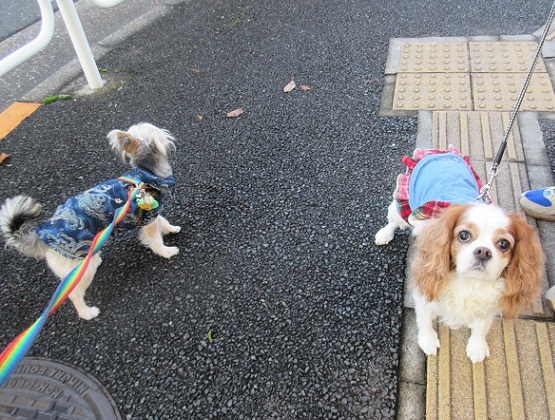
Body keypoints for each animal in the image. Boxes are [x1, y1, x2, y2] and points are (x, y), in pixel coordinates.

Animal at [0, 123, 181, 320]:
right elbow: (155, 240)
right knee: (73, 294)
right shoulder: (147, 218)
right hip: (81, 267)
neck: (144, 174)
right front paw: (166, 251)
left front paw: (172, 228)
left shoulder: (152, 212)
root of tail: (41, 235)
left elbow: (163, 221)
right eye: (156, 130)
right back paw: (87, 313)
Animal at [376, 148, 544, 364]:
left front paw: (477, 346)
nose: (483, 252)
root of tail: (441, 152)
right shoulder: (426, 285)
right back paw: (384, 234)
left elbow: (482, 325)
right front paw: (428, 341)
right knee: (393, 220)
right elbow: (424, 318)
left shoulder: (490, 300)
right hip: (403, 206)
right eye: (464, 235)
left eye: (504, 244)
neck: (469, 283)